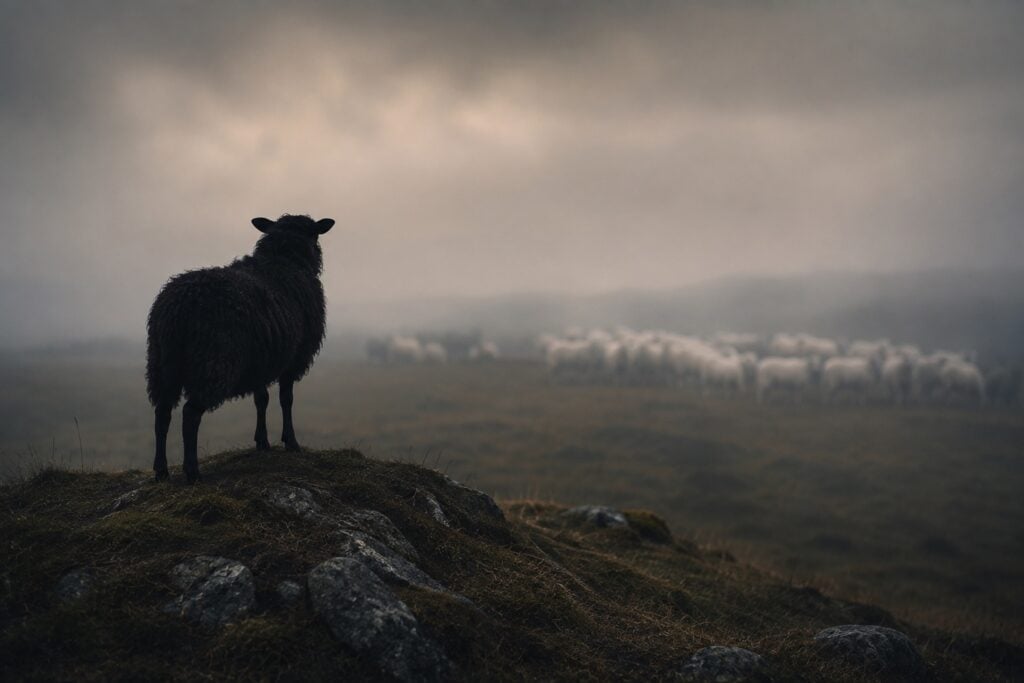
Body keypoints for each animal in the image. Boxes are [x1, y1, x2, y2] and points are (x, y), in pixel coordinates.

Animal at [146, 214, 334, 483]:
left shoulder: (261, 360)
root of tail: (177, 308)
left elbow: (261, 399)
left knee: (162, 413)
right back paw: (192, 471)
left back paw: (161, 471)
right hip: (213, 363)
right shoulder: (293, 358)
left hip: (162, 365)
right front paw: (291, 442)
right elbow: (286, 400)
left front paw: (262, 442)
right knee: (190, 414)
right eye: (314, 233)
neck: (286, 260)